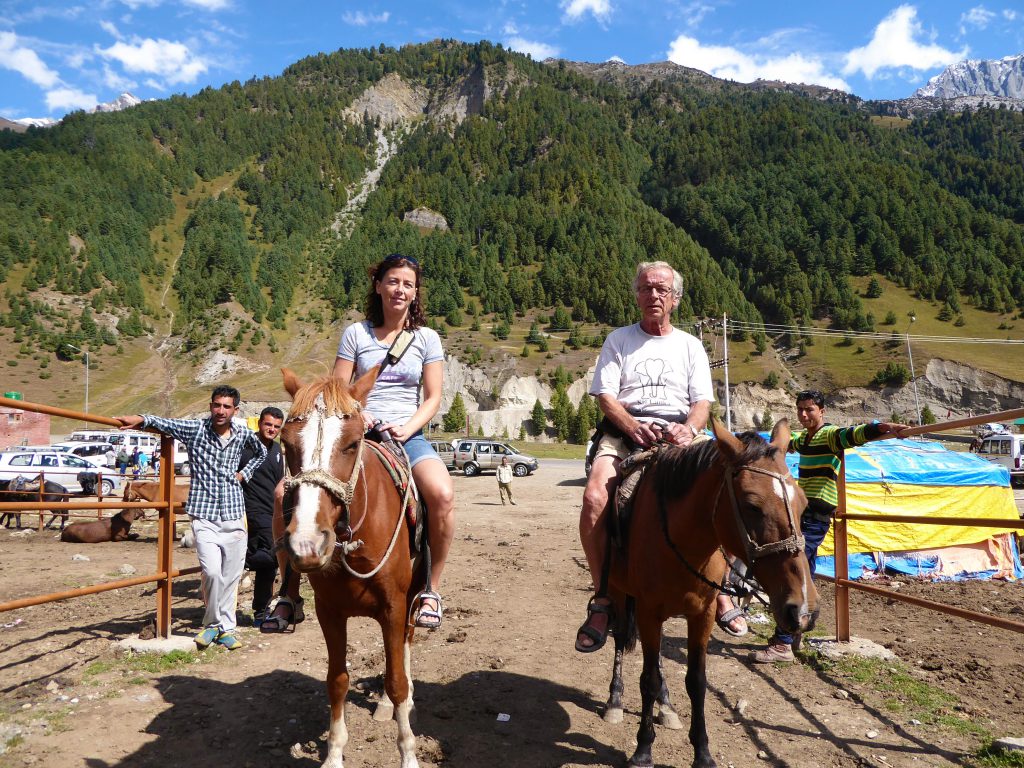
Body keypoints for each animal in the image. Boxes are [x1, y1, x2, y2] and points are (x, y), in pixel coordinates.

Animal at [278, 366, 421, 768]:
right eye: (286, 444)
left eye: (353, 444)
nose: (308, 542)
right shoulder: (329, 611)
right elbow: (337, 680)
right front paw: (334, 754)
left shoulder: (393, 606)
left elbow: (396, 680)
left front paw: (409, 753)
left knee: (405, 646)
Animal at [602, 421, 819, 768]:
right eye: (752, 505)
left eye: (803, 504)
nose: (803, 611)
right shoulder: (648, 611)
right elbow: (648, 679)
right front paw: (643, 748)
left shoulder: (701, 614)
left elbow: (696, 681)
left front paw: (702, 752)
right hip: (620, 593)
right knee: (622, 639)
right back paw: (615, 699)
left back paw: (667, 707)